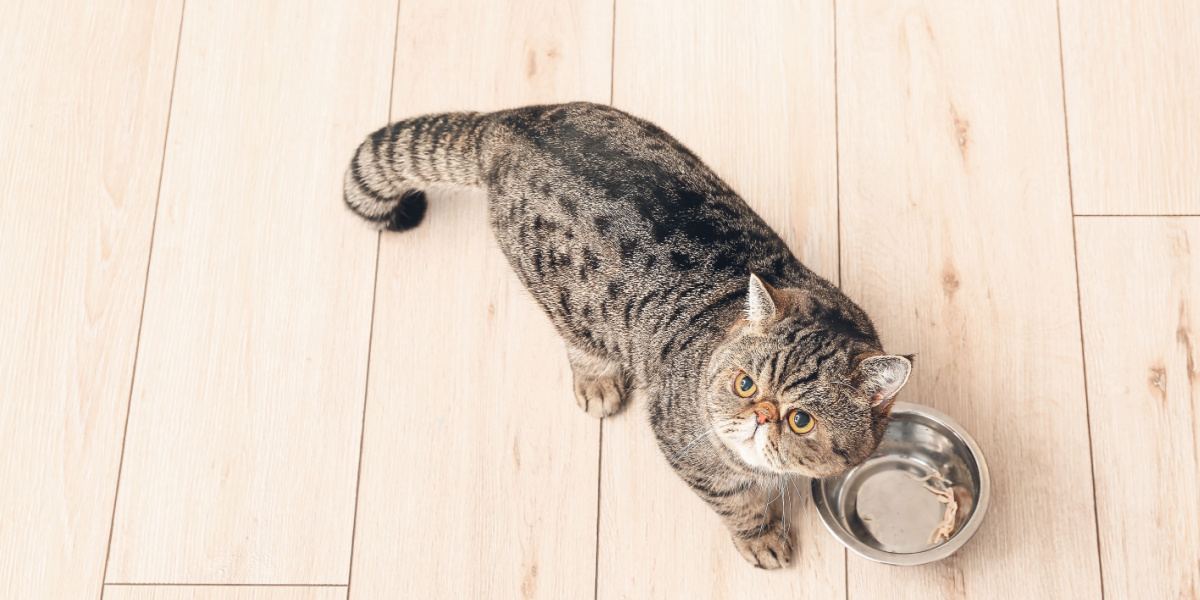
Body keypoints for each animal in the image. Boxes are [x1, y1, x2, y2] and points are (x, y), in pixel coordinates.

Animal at [345, 102, 907, 566]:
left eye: (800, 420)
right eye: (745, 385)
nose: (759, 416)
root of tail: (509, 122)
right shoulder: (684, 448)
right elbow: (737, 503)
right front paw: (761, 536)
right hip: (571, 306)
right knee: (580, 345)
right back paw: (598, 381)